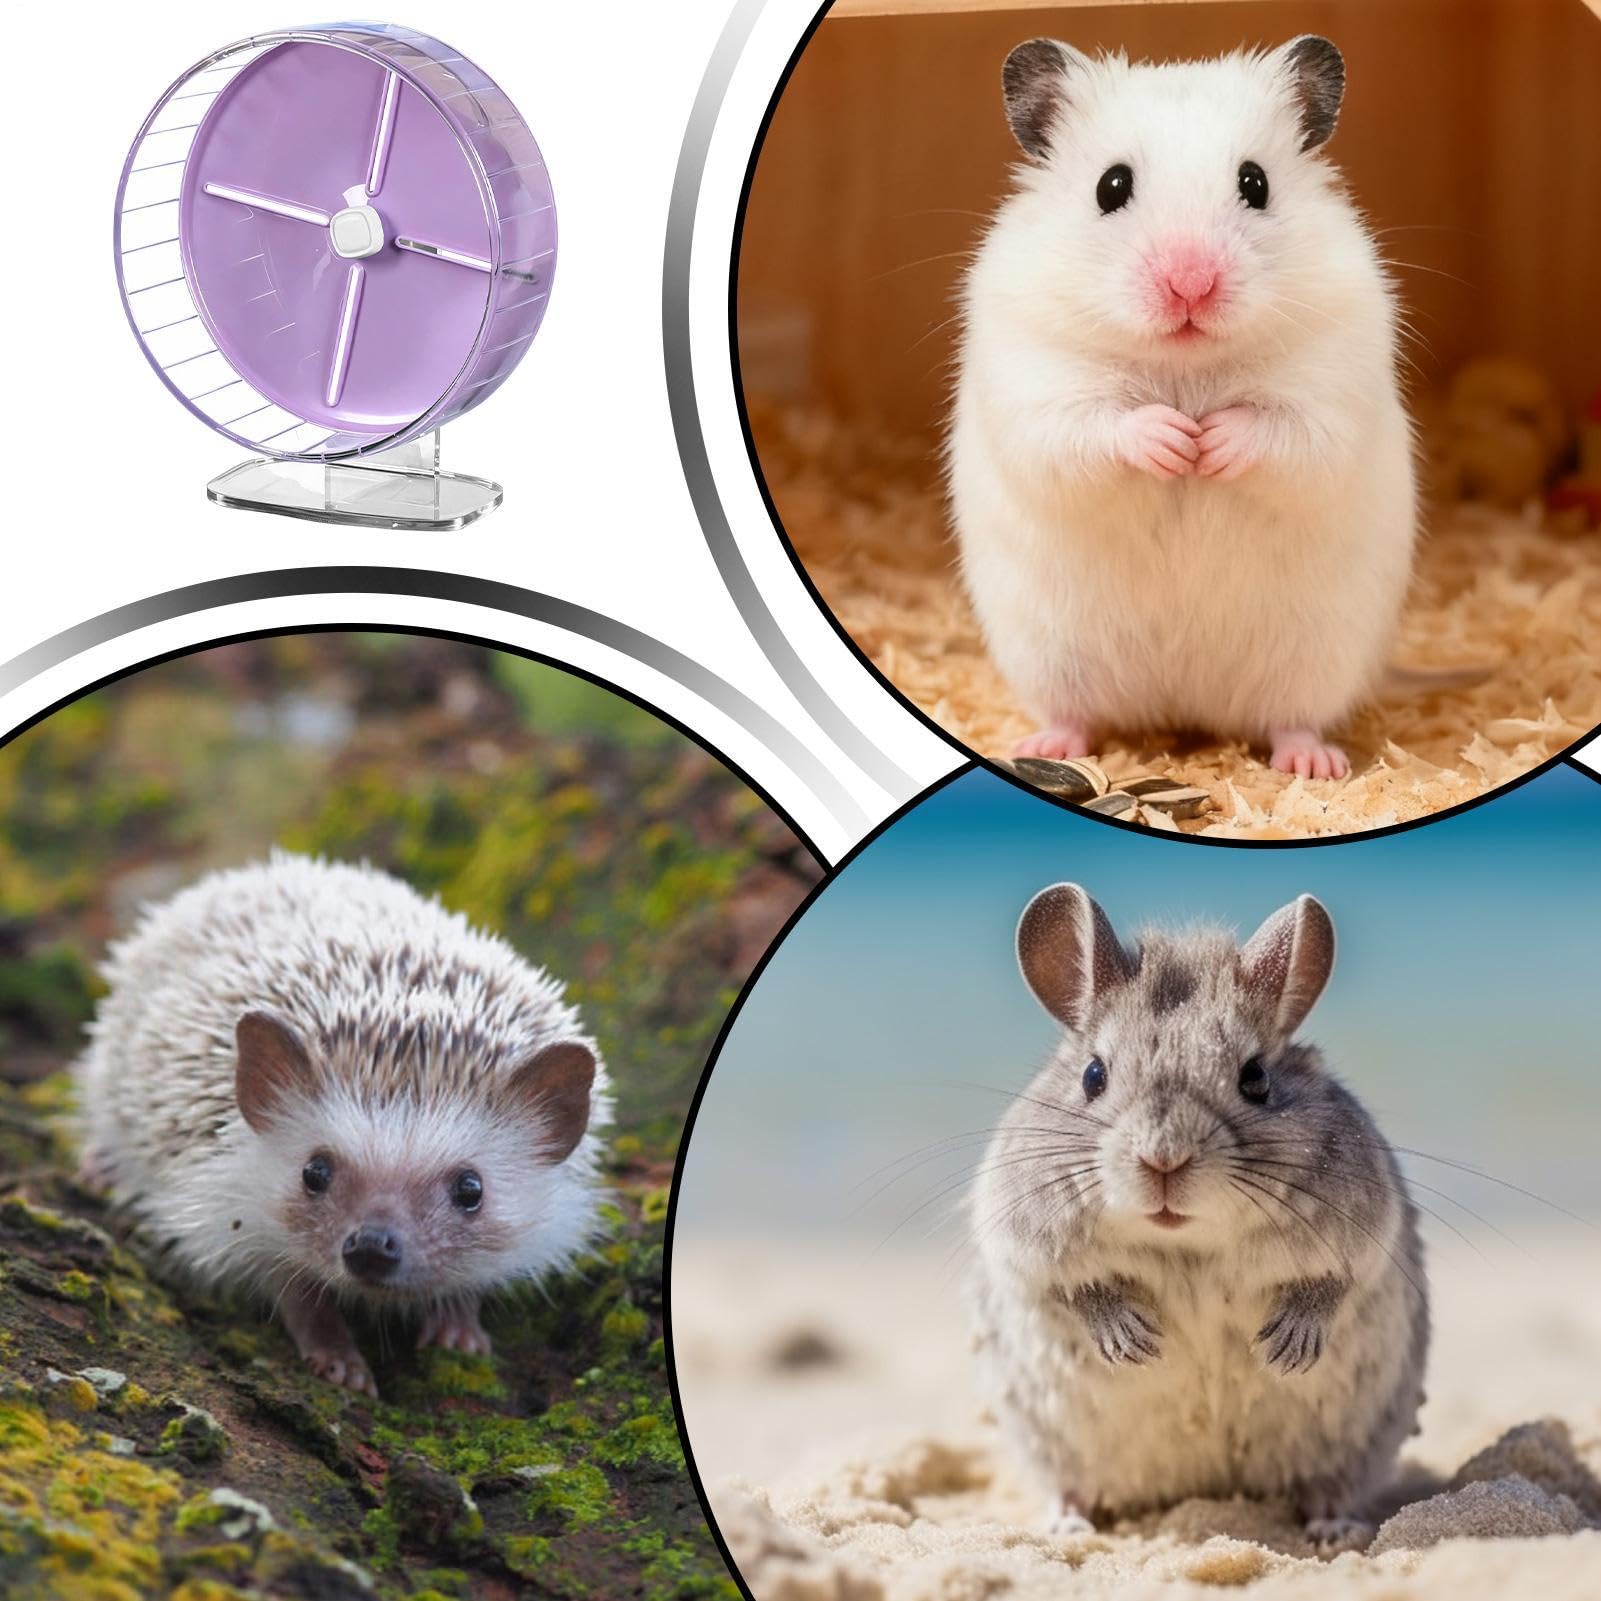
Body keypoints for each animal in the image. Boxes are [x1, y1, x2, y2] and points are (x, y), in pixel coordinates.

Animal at [75, 853, 611, 1395]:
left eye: (470, 1188)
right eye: (313, 1172)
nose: (371, 1245)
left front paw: (459, 1330)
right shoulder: (235, 1208)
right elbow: (294, 1290)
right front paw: (338, 1359)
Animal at [949, 37, 1416, 780]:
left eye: (1255, 183)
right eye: (1110, 187)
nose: (1190, 283)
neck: (1184, 366)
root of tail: (1182, 706)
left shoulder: (1330, 387)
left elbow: (1285, 435)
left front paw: (1209, 445)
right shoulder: (1037, 382)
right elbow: (1092, 430)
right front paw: (1176, 442)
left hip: (1315, 656)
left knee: (1291, 719)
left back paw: (1314, 764)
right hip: (1048, 654)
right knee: (1073, 712)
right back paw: (1043, 748)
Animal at [967, 884, 1428, 1544]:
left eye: (1255, 1077)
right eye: (1093, 1075)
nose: (1164, 1159)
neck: (1186, 1240)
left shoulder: (1367, 1233)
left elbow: (1330, 1284)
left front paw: (1286, 1348)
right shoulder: (1021, 1240)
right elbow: (1074, 1288)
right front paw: (1131, 1341)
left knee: (1328, 1487)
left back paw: (1335, 1527)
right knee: (1070, 1486)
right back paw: (1067, 1527)